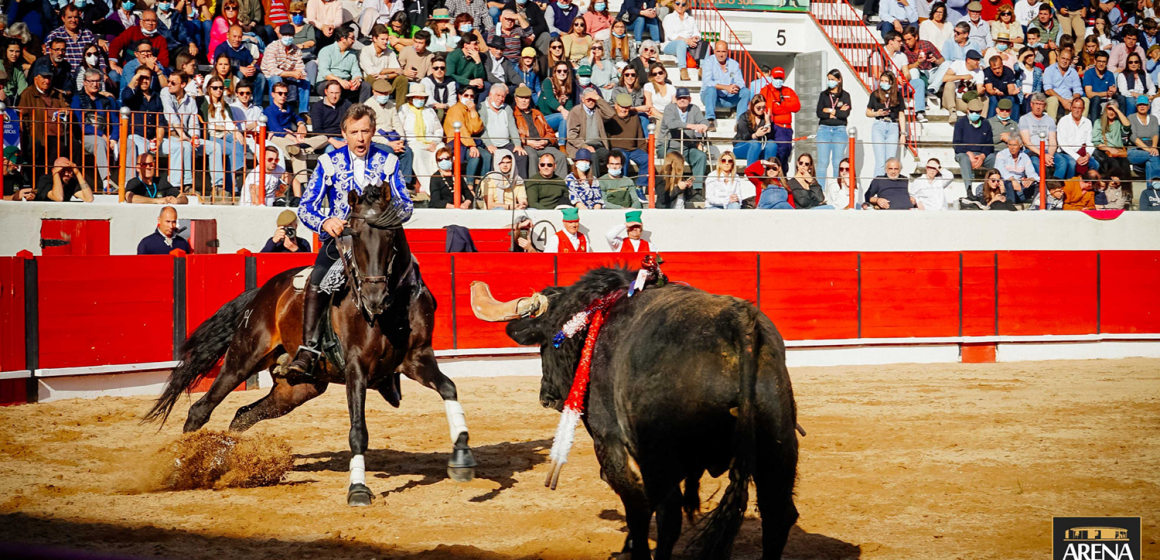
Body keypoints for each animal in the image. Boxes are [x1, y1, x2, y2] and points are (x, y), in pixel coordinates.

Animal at [148, 183, 475, 503]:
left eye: (390, 234)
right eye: (355, 234)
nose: (373, 298)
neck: (390, 310)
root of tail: (261, 292)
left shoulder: (417, 359)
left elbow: (449, 388)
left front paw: (462, 457)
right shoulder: (356, 367)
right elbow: (358, 431)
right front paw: (358, 490)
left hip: (298, 389)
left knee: (242, 416)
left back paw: (230, 464)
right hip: (243, 359)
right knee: (200, 410)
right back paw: (180, 470)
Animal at [470, 268, 798, 560]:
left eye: (546, 341)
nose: (545, 395)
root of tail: (738, 324)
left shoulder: (612, 445)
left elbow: (645, 513)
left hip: (659, 456)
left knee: (655, 513)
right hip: (778, 446)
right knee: (778, 516)